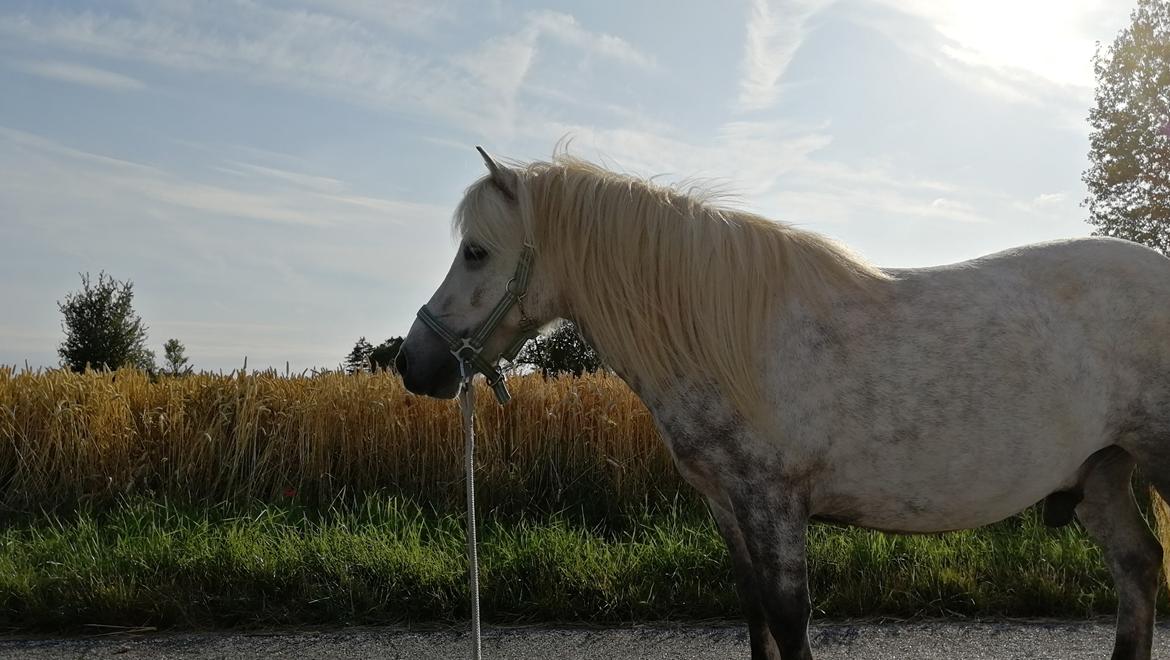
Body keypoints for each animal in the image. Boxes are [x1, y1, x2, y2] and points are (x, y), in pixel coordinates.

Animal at [395, 149, 1170, 660]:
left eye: (475, 251)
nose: (411, 364)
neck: (722, 336)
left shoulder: (774, 503)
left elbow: (790, 620)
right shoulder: (727, 505)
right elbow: (756, 617)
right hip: (1102, 471)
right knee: (1137, 571)